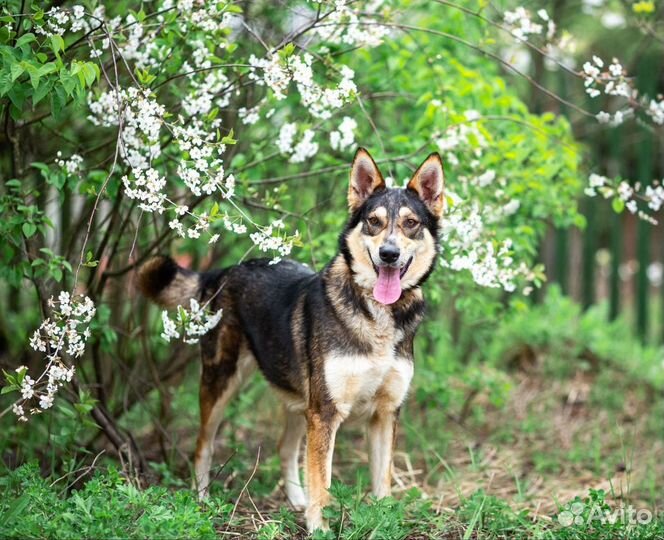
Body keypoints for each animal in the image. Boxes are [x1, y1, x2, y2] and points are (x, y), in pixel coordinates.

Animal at [137, 148, 444, 532]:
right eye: (373, 222)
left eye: (411, 223)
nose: (389, 254)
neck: (377, 314)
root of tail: (221, 271)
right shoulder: (326, 413)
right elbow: (322, 481)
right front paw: (319, 528)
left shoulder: (384, 414)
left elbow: (382, 484)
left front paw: (383, 523)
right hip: (223, 382)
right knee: (203, 444)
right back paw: (202, 498)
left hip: (300, 400)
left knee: (284, 448)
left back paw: (295, 500)